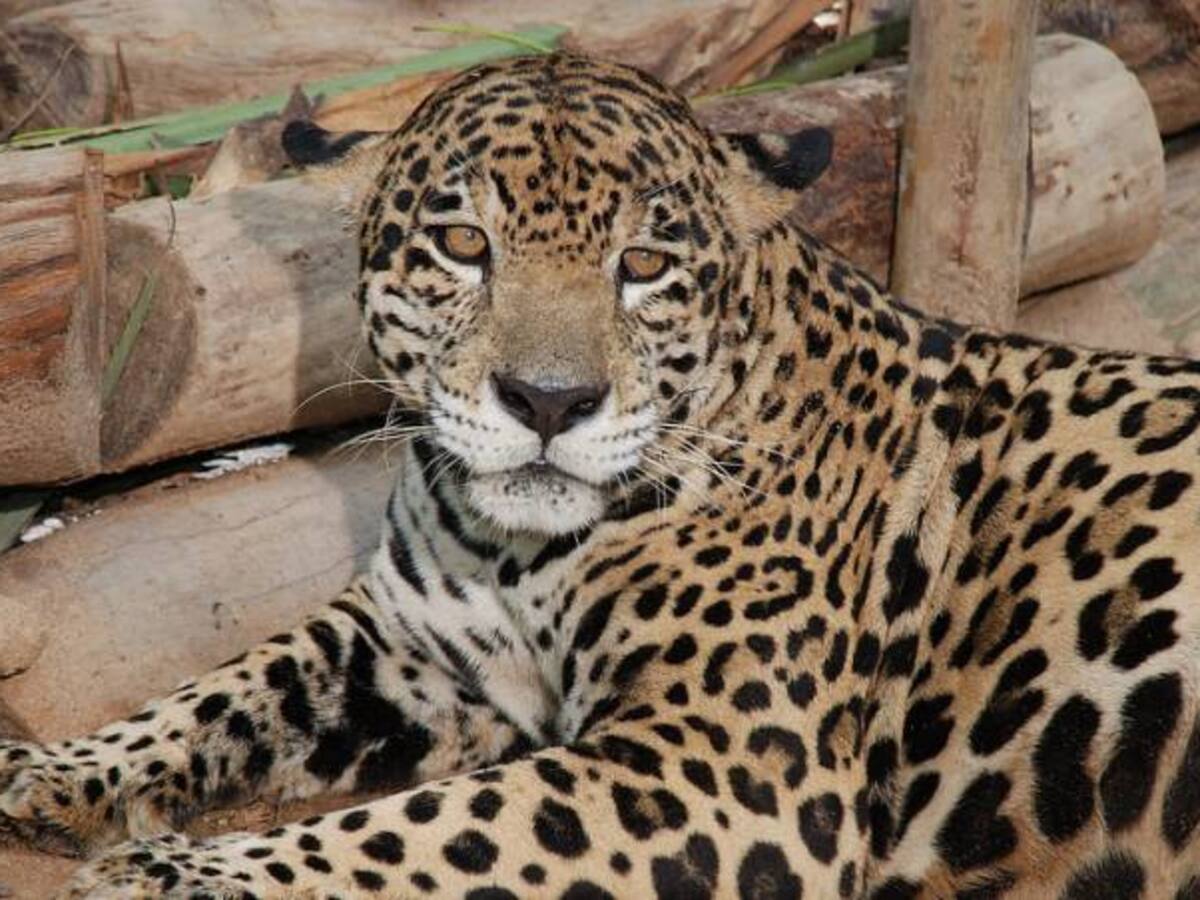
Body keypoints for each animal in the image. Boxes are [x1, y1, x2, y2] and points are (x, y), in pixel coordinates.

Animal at [4, 51, 1200, 900]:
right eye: (463, 246)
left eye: (645, 266)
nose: (547, 403)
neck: (514, 550)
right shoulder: (407, 642)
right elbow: (228, 687)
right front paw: (53, 771)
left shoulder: (729, 773)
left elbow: (426, 832)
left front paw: (175, 874)